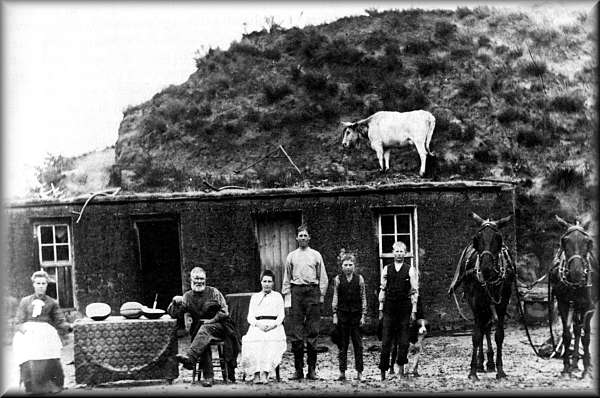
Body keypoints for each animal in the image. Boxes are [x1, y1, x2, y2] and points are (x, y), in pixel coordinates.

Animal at [448, 211, 512, 380]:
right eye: (476, 239)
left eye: (498, 238)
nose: (486, 268)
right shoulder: (475, 303)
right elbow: (476, 335)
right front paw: (473, 371)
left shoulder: (502, 304)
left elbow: (499, 335)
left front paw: (500, 370)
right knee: (483, 328)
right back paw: (481, 363)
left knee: (487, 327)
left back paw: (489, 363)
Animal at [552, 216, 596, 378]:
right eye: (564, 241)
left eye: (588, 242)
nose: (577, 272)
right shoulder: (563, 304)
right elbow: (566, 334)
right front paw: (566, 366)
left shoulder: (589, 307)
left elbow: (587, 337)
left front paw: (587, 368)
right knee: (576, 330)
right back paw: (575, 363)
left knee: (582, 331)